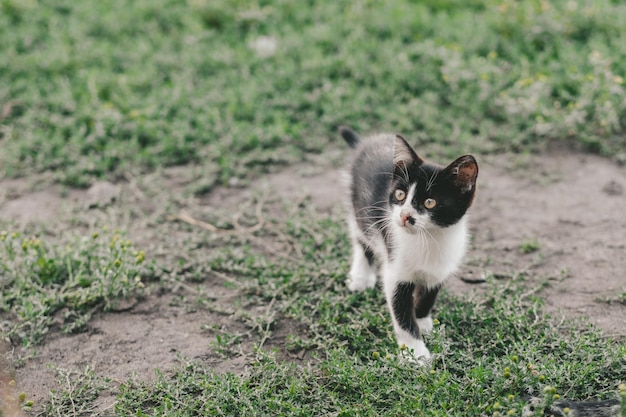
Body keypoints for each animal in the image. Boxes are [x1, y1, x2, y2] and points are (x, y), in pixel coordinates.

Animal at [336, 125, 478, 362]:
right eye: (400, 194)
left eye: (430, 202)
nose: (404, 216)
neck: (428, 238)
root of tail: (365, 143)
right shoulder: (396, 272)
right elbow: (401, 312)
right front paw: (415, 354)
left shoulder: (443, 264)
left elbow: (428, 295)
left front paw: (423, 320)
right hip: (360, 205)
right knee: (360, 235)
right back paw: (361, 275)